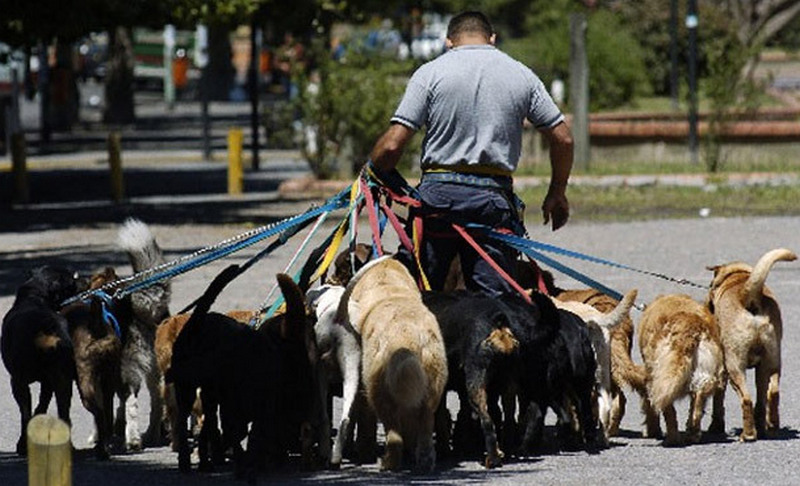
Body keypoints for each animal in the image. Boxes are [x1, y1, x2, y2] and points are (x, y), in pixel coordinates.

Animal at [1, 266, 86, 456]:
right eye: (72, 281)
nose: (85, 281)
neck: (35, 297)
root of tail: (48, 329)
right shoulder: (48, 383)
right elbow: (40, 407)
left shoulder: (17, 381)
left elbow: (26, 413)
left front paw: (22, 444)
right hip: (62, 380)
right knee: (64, 414)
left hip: (24, 379)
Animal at [334, 256, 446, 472]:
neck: (389, 290)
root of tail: (406, 339)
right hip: (432, 387)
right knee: (425, 427)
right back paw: (424, 462)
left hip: (377, 387)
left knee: (393, 433)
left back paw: (388, 463)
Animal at [636, 294, 724, 446]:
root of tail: (689, 324)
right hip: (708, 372)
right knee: (698, 399)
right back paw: (692, 432)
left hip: (659, 375)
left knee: (668, 409)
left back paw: (672, 439)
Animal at [708, 247, 792, 440]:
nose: (708, 306)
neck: (737, 277)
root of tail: (748, 295)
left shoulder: (722, 371)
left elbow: (718, 401)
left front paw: (715, 427)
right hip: (772, 362)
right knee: (770, 395)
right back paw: (769, 428)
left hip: (734, 366)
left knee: (746, 399)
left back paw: (748, 435)